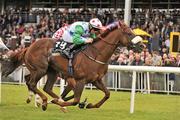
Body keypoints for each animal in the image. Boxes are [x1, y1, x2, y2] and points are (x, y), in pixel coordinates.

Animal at [0, 20, 143, 110]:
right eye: (129, 33)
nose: (141, 46)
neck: (96, 54)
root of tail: (29, 47)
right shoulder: (80, 80)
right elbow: (75, 100)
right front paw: (64, 103)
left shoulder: (96, 80)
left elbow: (107, 94)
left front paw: (90, 105)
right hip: (40, 69)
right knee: (32, 83)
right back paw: (45, 101)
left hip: (52, 71)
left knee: (45, 87)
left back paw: (51, 100)